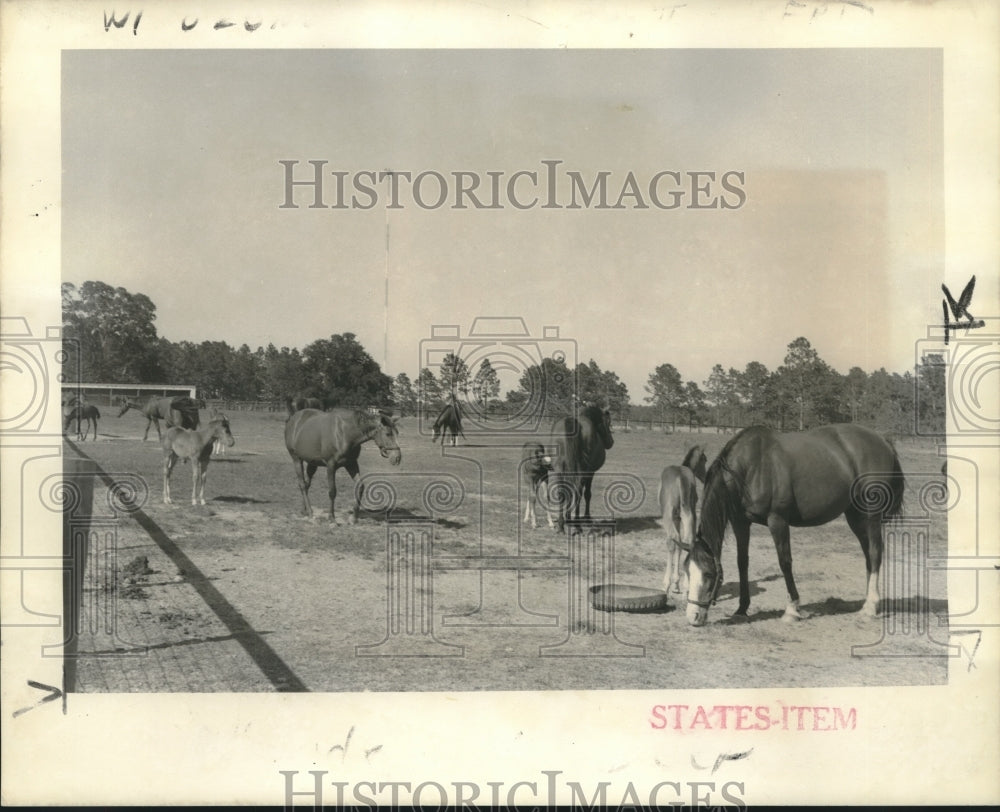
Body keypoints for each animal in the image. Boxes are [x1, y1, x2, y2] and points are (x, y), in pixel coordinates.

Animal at [552, 404, 612, 532]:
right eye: (608, 422)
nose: (611, 442)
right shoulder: (590, 472)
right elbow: (587, 494)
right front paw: (587, 518)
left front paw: (568, 518)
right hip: (581, 471)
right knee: (578, 492)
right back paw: (577, 526)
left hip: (559, 470)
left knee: (562, 492)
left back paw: (562, 525)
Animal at [660, 444, 708, 596]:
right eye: (705, 459)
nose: (705, 477)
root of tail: (680, 477)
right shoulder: (680, 516)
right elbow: (681, 544)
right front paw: (678, 583)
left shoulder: (675, 517)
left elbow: (676, 542)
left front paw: (674, 583)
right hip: (689, 512)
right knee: (689, 539)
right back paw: (687, 586)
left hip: (668, 515)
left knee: (672, 539)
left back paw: (666, 585)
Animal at [688, 426, 908, 628]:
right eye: (687, 572)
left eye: (709, 574)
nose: (693, 617)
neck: (751, 467)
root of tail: (883, 440)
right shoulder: (740, 522)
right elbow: (742, 563)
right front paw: (741, 609)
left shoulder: (777, 521)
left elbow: (785, 562)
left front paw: (792, 609)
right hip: (854, 516)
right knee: (868, 556)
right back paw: (868, 600)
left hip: (870, 516)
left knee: (875, 553)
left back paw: (870, 607)